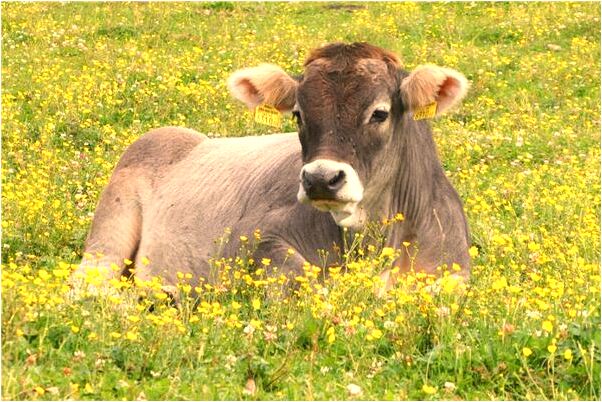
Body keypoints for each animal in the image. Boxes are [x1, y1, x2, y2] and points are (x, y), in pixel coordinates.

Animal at [74, 41, 468, 292]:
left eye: (380, 113)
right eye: (298, 114)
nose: (321, 179)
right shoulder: (252, 238)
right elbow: (305, 281)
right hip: (108, 235)